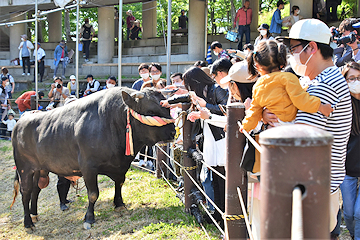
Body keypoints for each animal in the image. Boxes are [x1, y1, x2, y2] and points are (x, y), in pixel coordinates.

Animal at [13, 87, 177, 229]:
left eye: (167, 108)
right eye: (150, 111)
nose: (173, 132)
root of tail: (22, 119)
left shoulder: (121, 167)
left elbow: (119, 184)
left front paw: (119, 204)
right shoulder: (88, 167)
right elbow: (93, 194)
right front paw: (89, 217)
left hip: (40, 169)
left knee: (35, 190)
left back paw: (34, 214)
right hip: (24, 168)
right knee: (25, 192)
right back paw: (28, 222)